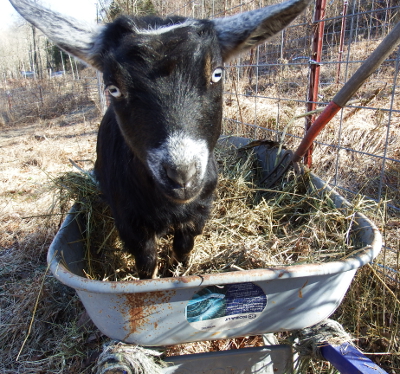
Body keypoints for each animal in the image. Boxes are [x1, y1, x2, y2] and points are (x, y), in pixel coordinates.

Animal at [8, 0, 310, 278]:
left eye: (216, 74)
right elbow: (146, 260)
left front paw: (178, 271)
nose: (182, 175)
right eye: (113, 88)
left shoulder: (199, 209)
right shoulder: (129, 219)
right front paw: (150, 279)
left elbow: (184, 246)